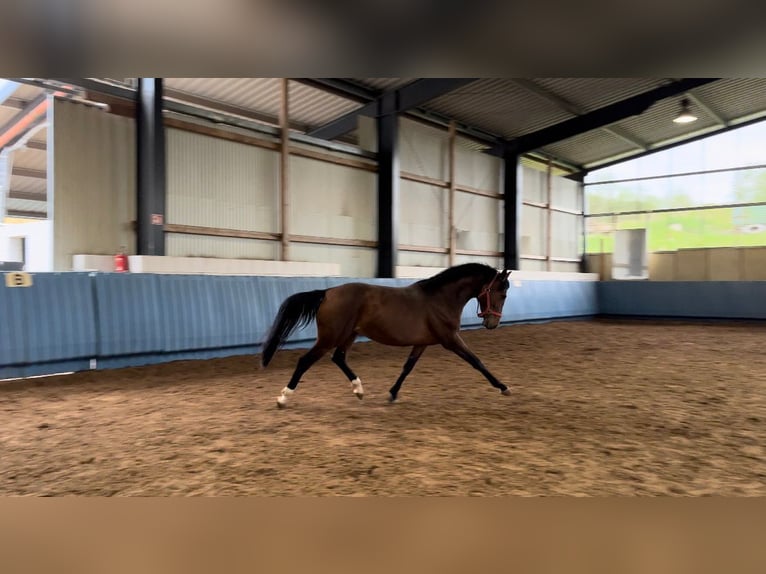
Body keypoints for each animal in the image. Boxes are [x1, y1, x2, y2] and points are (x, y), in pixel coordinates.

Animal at [260, 263, 512, 408]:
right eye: (501, 292)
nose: (492, 323)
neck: (441, 298)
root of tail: (328, 292)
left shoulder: (423, 343)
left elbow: (407, 367)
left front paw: (392, 394)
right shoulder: (450, 339)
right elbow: (476, 361)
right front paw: (503, 387)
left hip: (349, 335)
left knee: (339, 358)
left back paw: (359, 390)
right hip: (329, 338)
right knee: (305, 361)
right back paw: (283, 397)